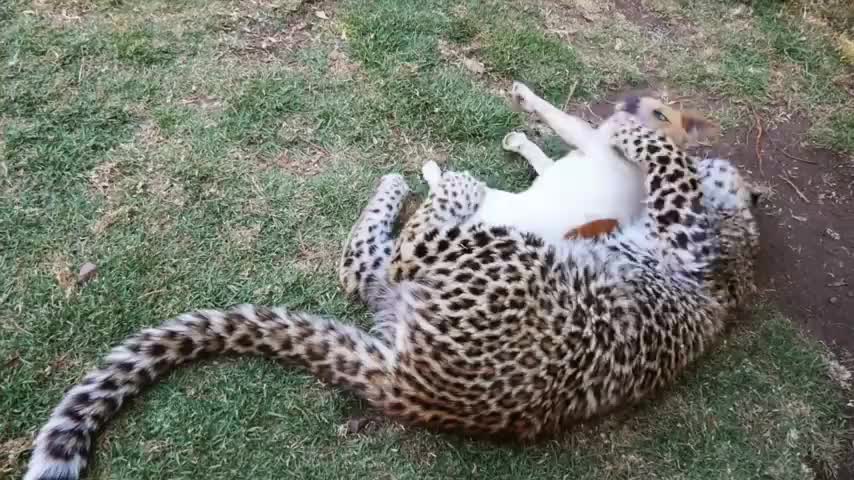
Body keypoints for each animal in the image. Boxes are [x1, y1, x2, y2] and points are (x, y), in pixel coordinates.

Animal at [21, 113, 764, 480]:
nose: (721, 165)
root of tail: (409, 384)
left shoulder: (686, 229)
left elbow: (663, 159)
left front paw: (630, 132)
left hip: (496, 259)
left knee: (410, 245)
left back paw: (445, 183)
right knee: (366, 263)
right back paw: (409, 182)